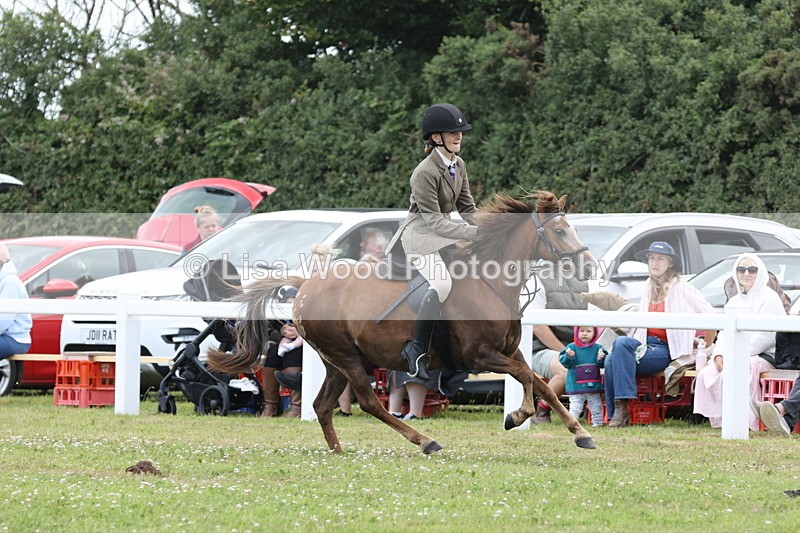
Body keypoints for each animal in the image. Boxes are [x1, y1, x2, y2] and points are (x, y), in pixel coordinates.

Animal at [208, 191, 597, 454]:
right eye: (560, 232)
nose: (589, 267)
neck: (490, 283)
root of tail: (306, 285)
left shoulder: (509, 350)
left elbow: (541, 383)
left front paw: (580, 433)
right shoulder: (479, 355)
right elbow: (526, 379)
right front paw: (516, 417)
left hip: (336, 360)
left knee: (322, 405)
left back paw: (338, 450)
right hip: (347, 357)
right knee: (369, 402)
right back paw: (424, 441)